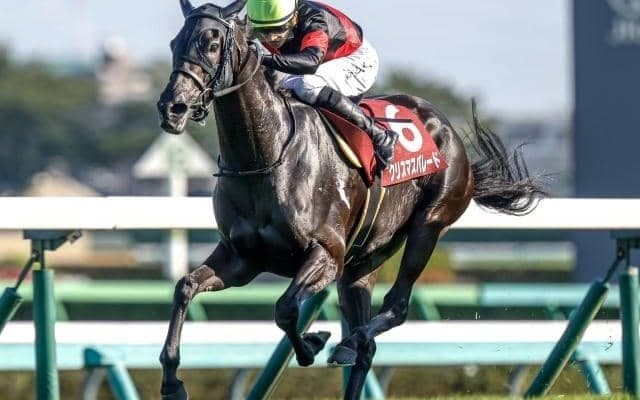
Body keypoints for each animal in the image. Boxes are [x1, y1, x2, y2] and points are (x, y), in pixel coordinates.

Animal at [156, 1, 544, 399]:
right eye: (174, 43)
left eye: (212, 43)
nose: (173, 108)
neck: (264, 157)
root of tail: (447, 130)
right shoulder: (242, 258)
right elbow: (184, 287)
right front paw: (172, 381)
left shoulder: (327, 253)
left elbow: (285, 309)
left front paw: (313, 342)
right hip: (364, 260)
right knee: (366, 343)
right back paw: (350, 344)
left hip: (429, 223)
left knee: (395, 308)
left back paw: (349, 338)